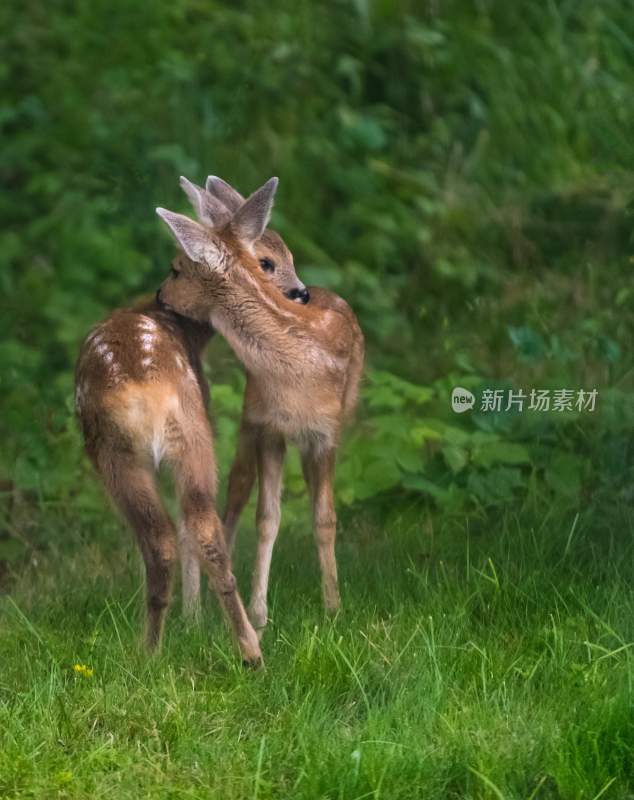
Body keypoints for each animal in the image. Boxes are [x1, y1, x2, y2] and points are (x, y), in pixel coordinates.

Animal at [74, 177, 308, 664]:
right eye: (268, 261)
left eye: (176, 267)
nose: (301, 294)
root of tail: (144, 387)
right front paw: (194, 619)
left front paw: (190, 618)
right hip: (192, 434)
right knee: (200, 527)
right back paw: (249, 650)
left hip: (120, 452)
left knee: (163, 535)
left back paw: (151, 648)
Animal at [154, 175, 366, 636]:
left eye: (177, 268)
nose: (159, 296)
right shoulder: (269, 427)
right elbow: (267, 518)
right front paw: (257, 613)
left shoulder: (327, 433)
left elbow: (325, 518)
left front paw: (334, 607)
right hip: (249, 420)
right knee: (235, 491)